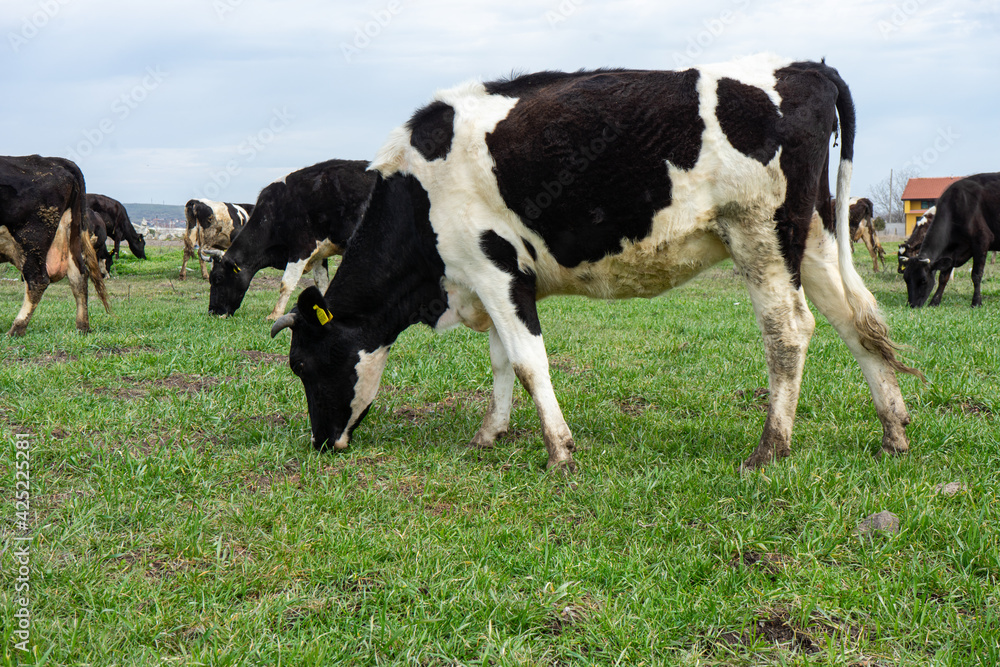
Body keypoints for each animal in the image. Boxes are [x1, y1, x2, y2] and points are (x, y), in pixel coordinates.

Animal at [0, 154, 111, 336]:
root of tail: (53, 160)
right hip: (69, 234)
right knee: (79, 276)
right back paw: (82, 326)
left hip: (33, 238)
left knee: (38, 280)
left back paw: (16, 329)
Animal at [208, 160, 378, 320]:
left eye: (218, 278)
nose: (212, 312)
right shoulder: (320, 252)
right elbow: (321, 283)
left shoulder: (303, 247)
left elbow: (286, 283)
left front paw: (274, 315)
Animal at [270, 57, 916, 474]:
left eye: (303, 364)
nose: (321, 443)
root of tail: (806, 67)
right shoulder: (498, 281)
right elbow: (502, 361)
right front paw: (490, 434)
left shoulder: (493, 267)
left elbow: (528, 361)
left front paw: (559, 450)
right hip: (812, 236)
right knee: (859, 321)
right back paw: (893, 432)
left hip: (759, 231)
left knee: (790, 329)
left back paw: (770, 448)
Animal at [904, 172, 996, 308]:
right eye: (906, 278)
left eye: (923, 280)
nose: (912, 305)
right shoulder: (951, 252)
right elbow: (943, 277)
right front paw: (934, 301)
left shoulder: (982, 240)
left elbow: (976, 274)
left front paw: (976, 302)